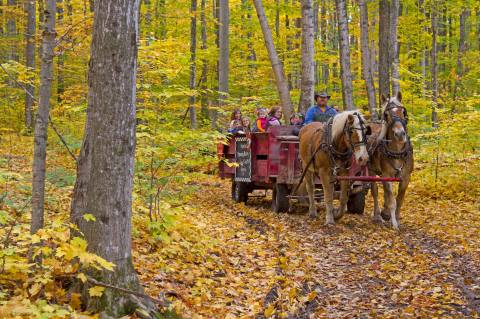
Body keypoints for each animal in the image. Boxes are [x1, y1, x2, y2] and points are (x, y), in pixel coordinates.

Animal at [368, 92, 412, 230]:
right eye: (386, 114)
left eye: (403, 111)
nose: (400, 134)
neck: (397, 152)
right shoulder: (386, 175)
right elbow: (392, 200)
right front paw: (394, 223)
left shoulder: (406, 177)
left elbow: (399, 199)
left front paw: (396, 218)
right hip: (371, 170)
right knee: (375, 192)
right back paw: (378, 215)